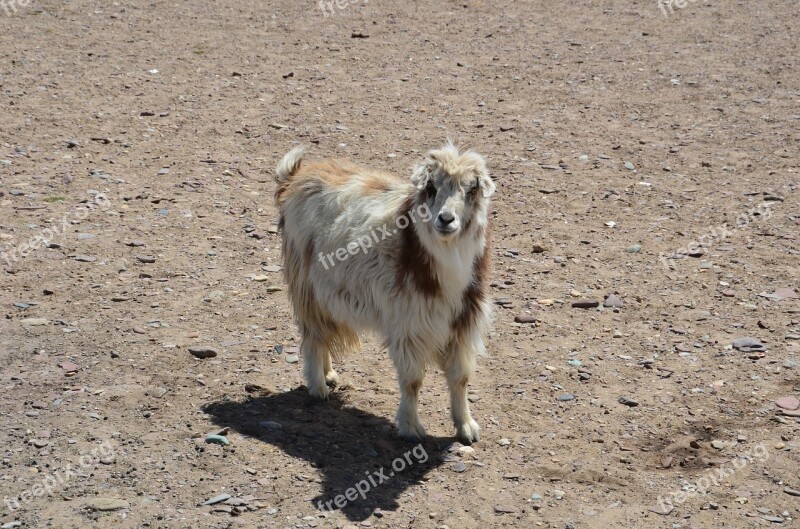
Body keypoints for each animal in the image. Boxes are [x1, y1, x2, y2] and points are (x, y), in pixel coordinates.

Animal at [274, 142, 494, 444]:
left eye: (472, 190)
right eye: (431, 188)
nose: (446, 219)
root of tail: (296, 176)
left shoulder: (463, 323)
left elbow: (460, 378)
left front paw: (467, 427)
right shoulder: (409, 324)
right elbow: (412, 381)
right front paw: (411, 428)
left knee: (323, 333)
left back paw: (329, 373)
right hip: (306, 284)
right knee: (312, 336)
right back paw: (318, 387)